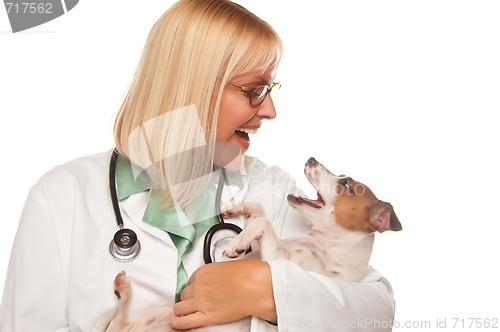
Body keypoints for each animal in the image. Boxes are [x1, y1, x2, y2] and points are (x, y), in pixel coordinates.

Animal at [94, 157, 402, 330]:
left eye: (346, 183)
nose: (312, 157)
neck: (325, 245)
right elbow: (260, 213)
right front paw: (237, 208)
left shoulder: (276, 260)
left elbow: (262, 224)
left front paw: (237, 243)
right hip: (159, 312)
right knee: (118, 324)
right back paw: (123, 290)